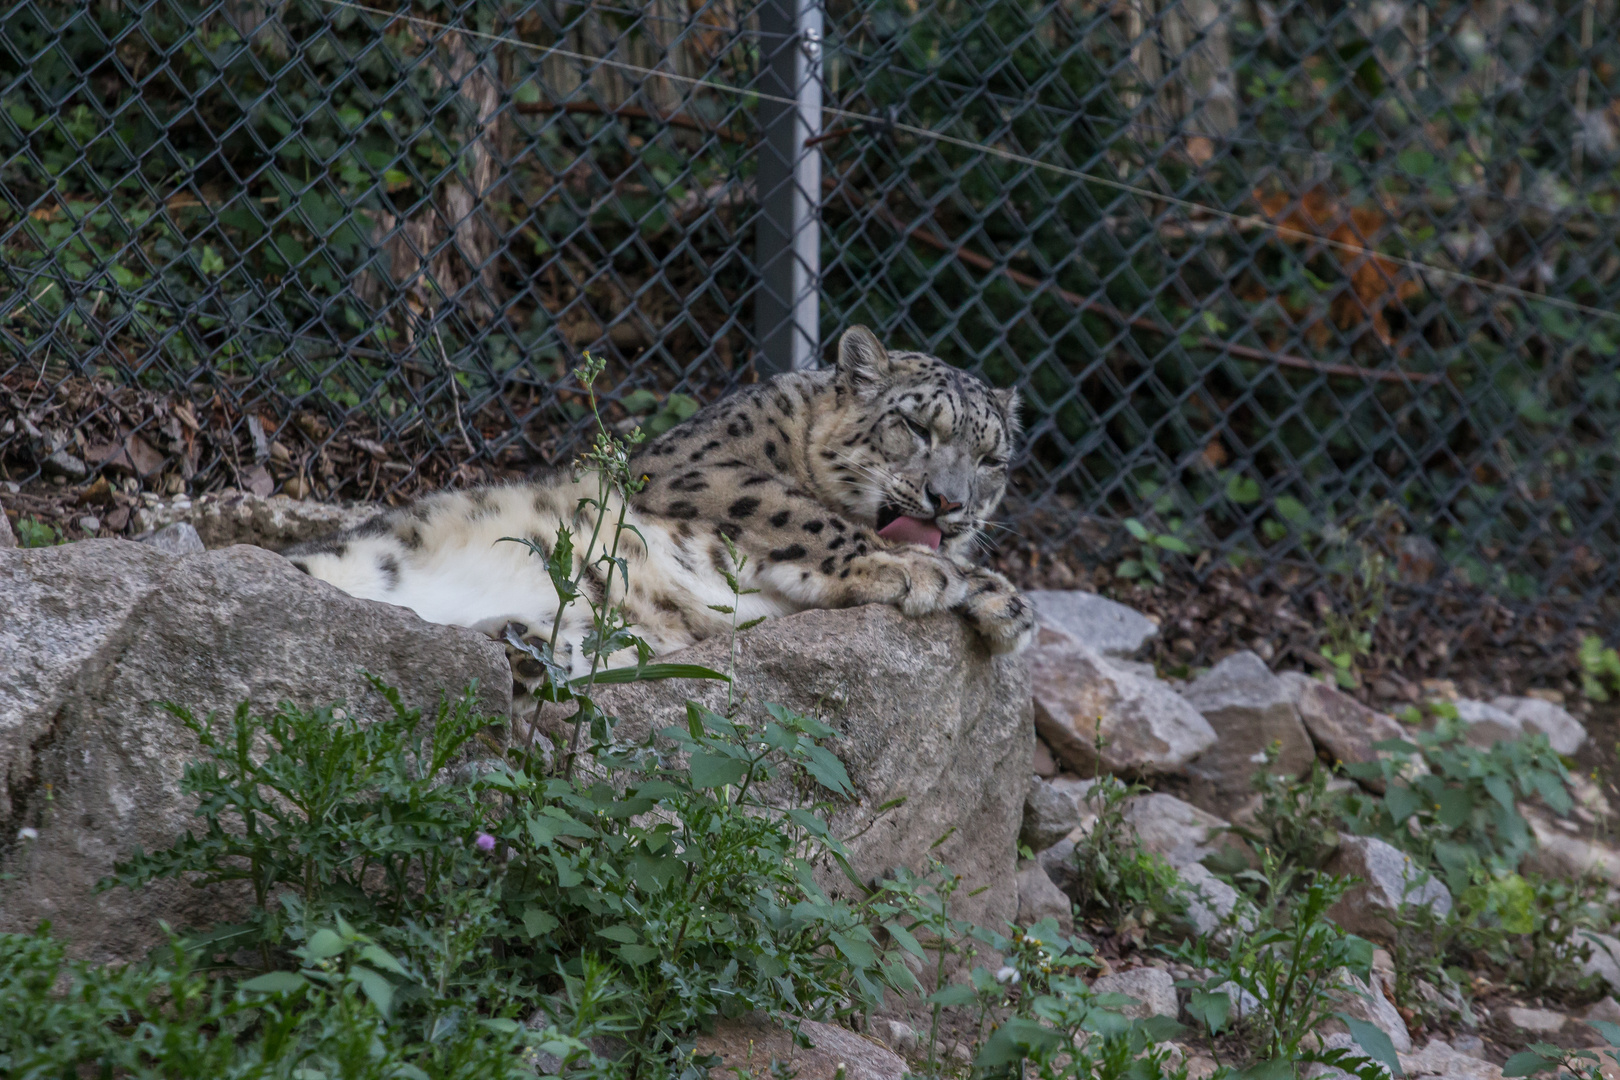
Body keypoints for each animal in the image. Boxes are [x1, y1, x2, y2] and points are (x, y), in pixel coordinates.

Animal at [283, 325, 1030, 693]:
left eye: (992, 460)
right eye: (918, 427)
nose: (951, 502)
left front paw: (1005, 603)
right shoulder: (701, 471)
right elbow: (805, 514)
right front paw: (919, 572)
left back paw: (525, 649)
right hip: (350, 563)